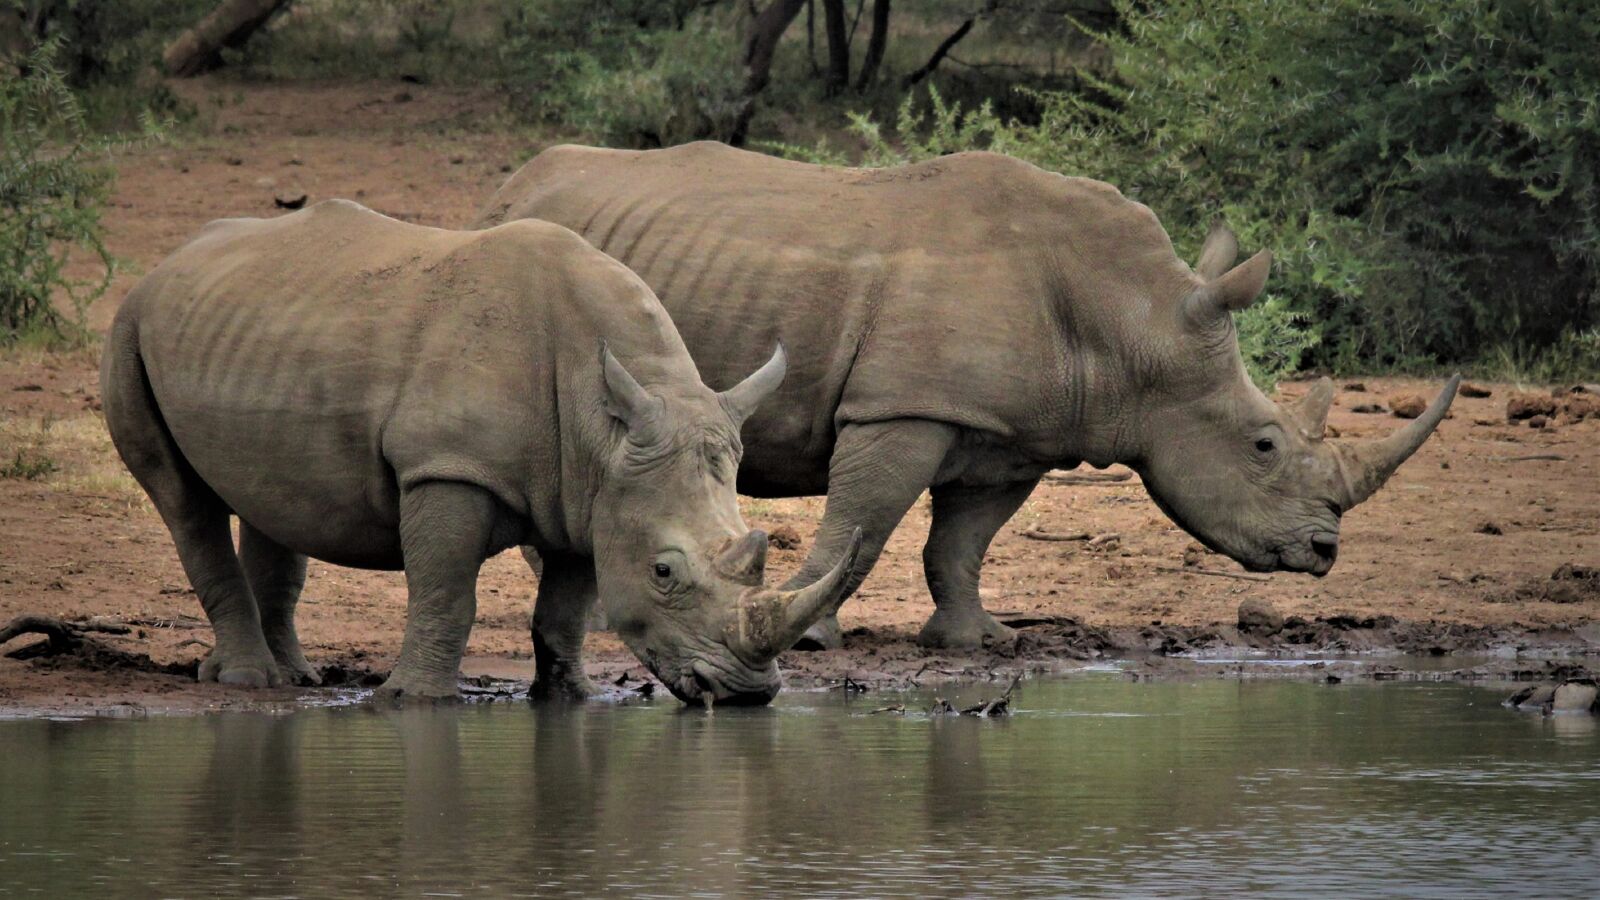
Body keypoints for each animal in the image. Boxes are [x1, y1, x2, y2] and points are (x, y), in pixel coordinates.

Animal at [467, 145, 1459, 650]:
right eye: (1263, 445)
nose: (1325, 552)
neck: (1133, 322)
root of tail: (508, 188)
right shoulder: (902, 405)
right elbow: (859, 524)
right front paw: (815, 638)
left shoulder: (1014, 433)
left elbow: (963, 541)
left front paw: (979, 642)